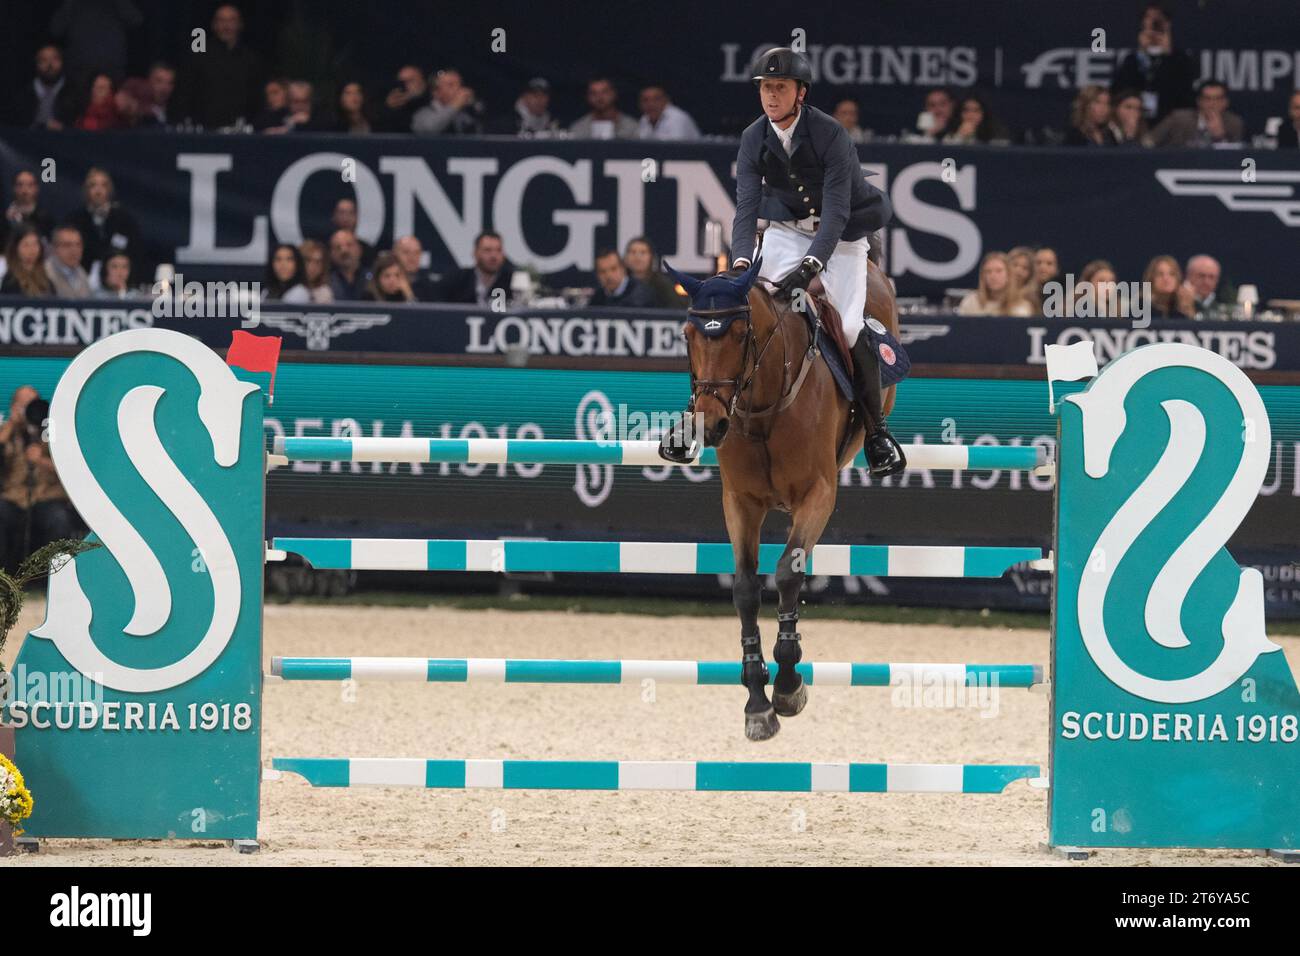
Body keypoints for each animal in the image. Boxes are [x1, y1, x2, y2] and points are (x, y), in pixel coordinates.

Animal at [665, 254, 899, 738]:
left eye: (740, 334)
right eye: (688, 336)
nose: (710, 424)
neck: (761, 405)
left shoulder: (817, 495)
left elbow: (788, 574)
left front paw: (789, 684)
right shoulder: (740, 502)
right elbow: (745, 587)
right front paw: (757, 697)